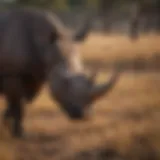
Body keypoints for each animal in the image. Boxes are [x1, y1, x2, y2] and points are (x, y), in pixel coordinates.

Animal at [0, 7, 120, 138]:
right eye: (65, 83)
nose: (84, 115)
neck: (45, 47)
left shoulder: (36, 75)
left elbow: (20, 103)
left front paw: (6, 123)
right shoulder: (12, 75)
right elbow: (19, 105)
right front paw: (19, 134)